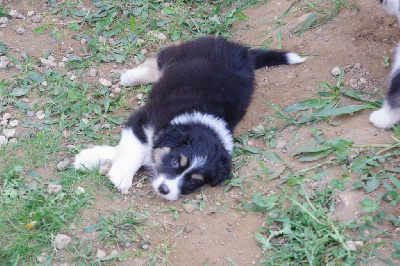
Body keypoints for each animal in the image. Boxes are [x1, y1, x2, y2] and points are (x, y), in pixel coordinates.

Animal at [74, 37, 306, 200]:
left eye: (194, 182)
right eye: (176, 161)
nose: (164, 190)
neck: (197, 120)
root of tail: (242, 51)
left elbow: (133, 151)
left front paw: (88, 159)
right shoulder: (144, 119)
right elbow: (133, 148)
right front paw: (118, 173)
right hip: (182, 53)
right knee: (159, 60)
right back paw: (131, 77)